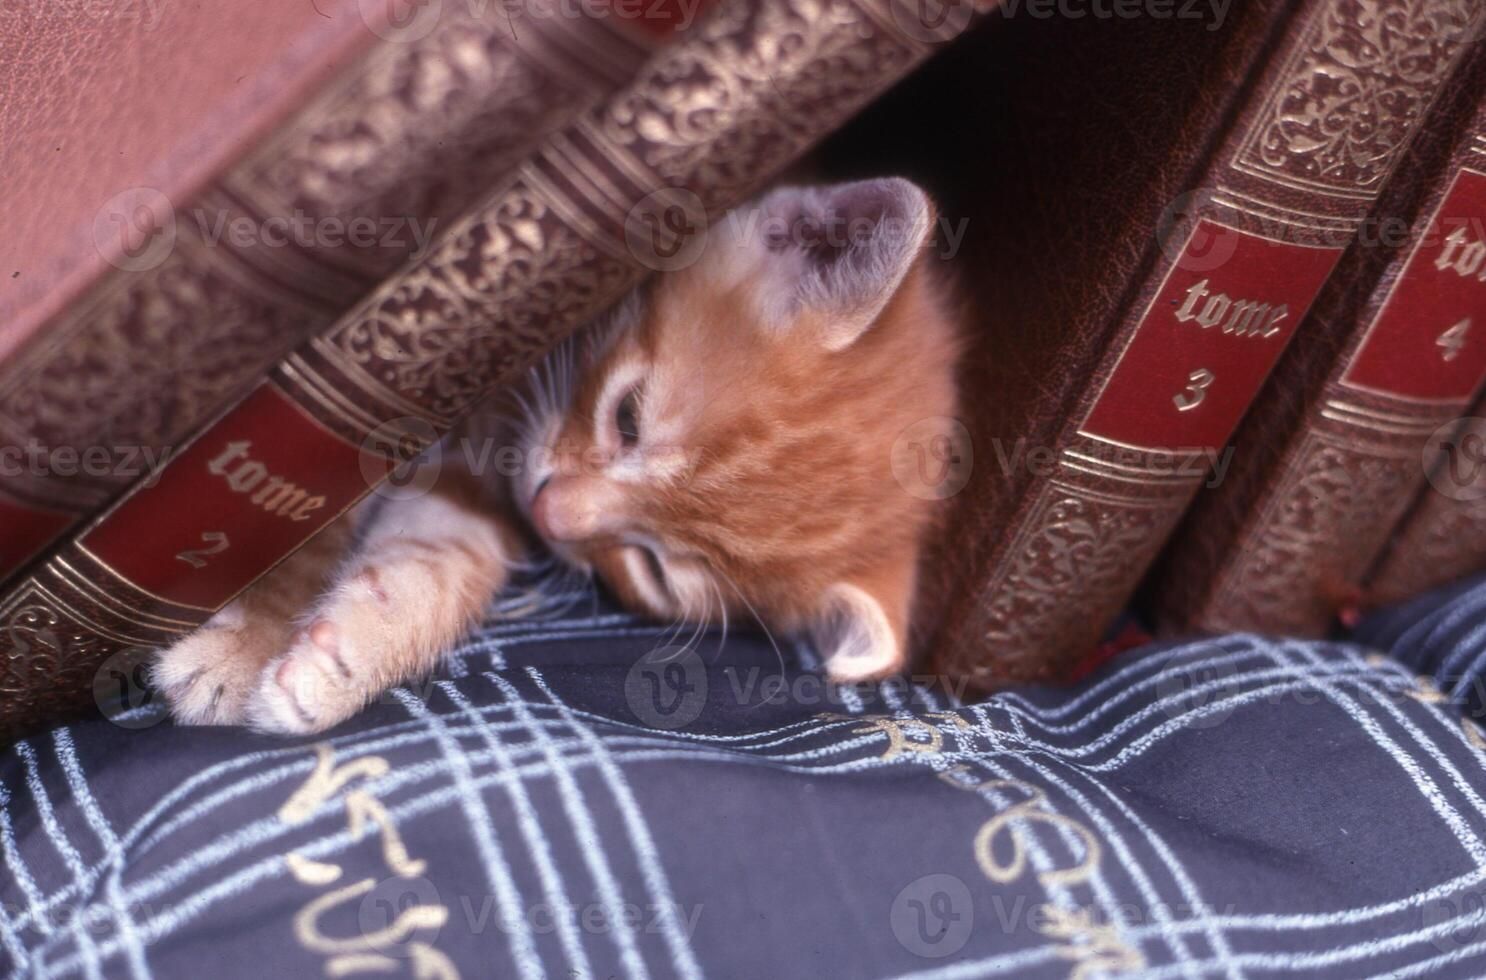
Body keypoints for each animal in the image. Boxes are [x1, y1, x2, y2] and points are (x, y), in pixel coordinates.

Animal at [153, 176, 962, 731]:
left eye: (656, 569)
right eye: (628, 419)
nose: (550, 515)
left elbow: (444, 563)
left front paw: (344, 658)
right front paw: (251, 634)